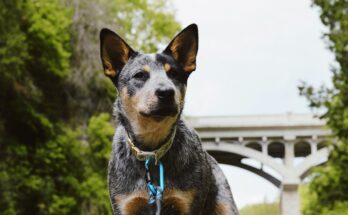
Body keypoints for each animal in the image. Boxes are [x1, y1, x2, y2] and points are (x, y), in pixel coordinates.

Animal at [99, 24, 238, 214]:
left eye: (174, 74)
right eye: (139, 75)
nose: (166, 92)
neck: (151, 152)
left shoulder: (187, 202)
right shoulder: (125, 203)